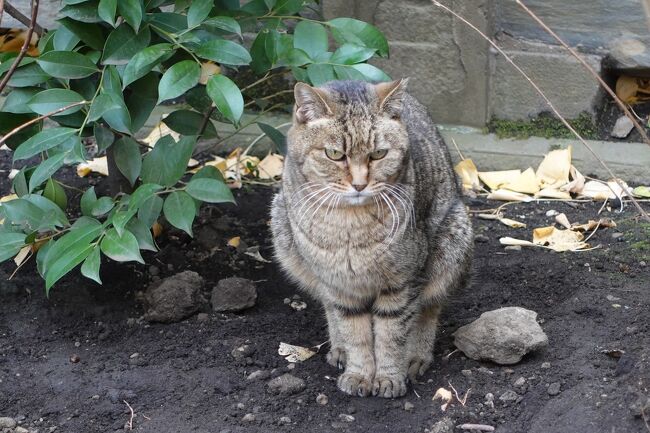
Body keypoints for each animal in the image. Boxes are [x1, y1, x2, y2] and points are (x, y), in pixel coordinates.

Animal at [268, 79, 470, 396]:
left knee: (429, 309)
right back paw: (339, 349)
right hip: (284, 232)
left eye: (378, 154)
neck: (349, 226)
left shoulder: (402, 282)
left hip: (451, 243)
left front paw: (388, 377)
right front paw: (359, 374)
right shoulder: (340, 285)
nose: (360, 184)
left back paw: (416, 356)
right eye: (334, 154)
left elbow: (392, 334)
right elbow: (355, 333)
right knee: (329, 308)